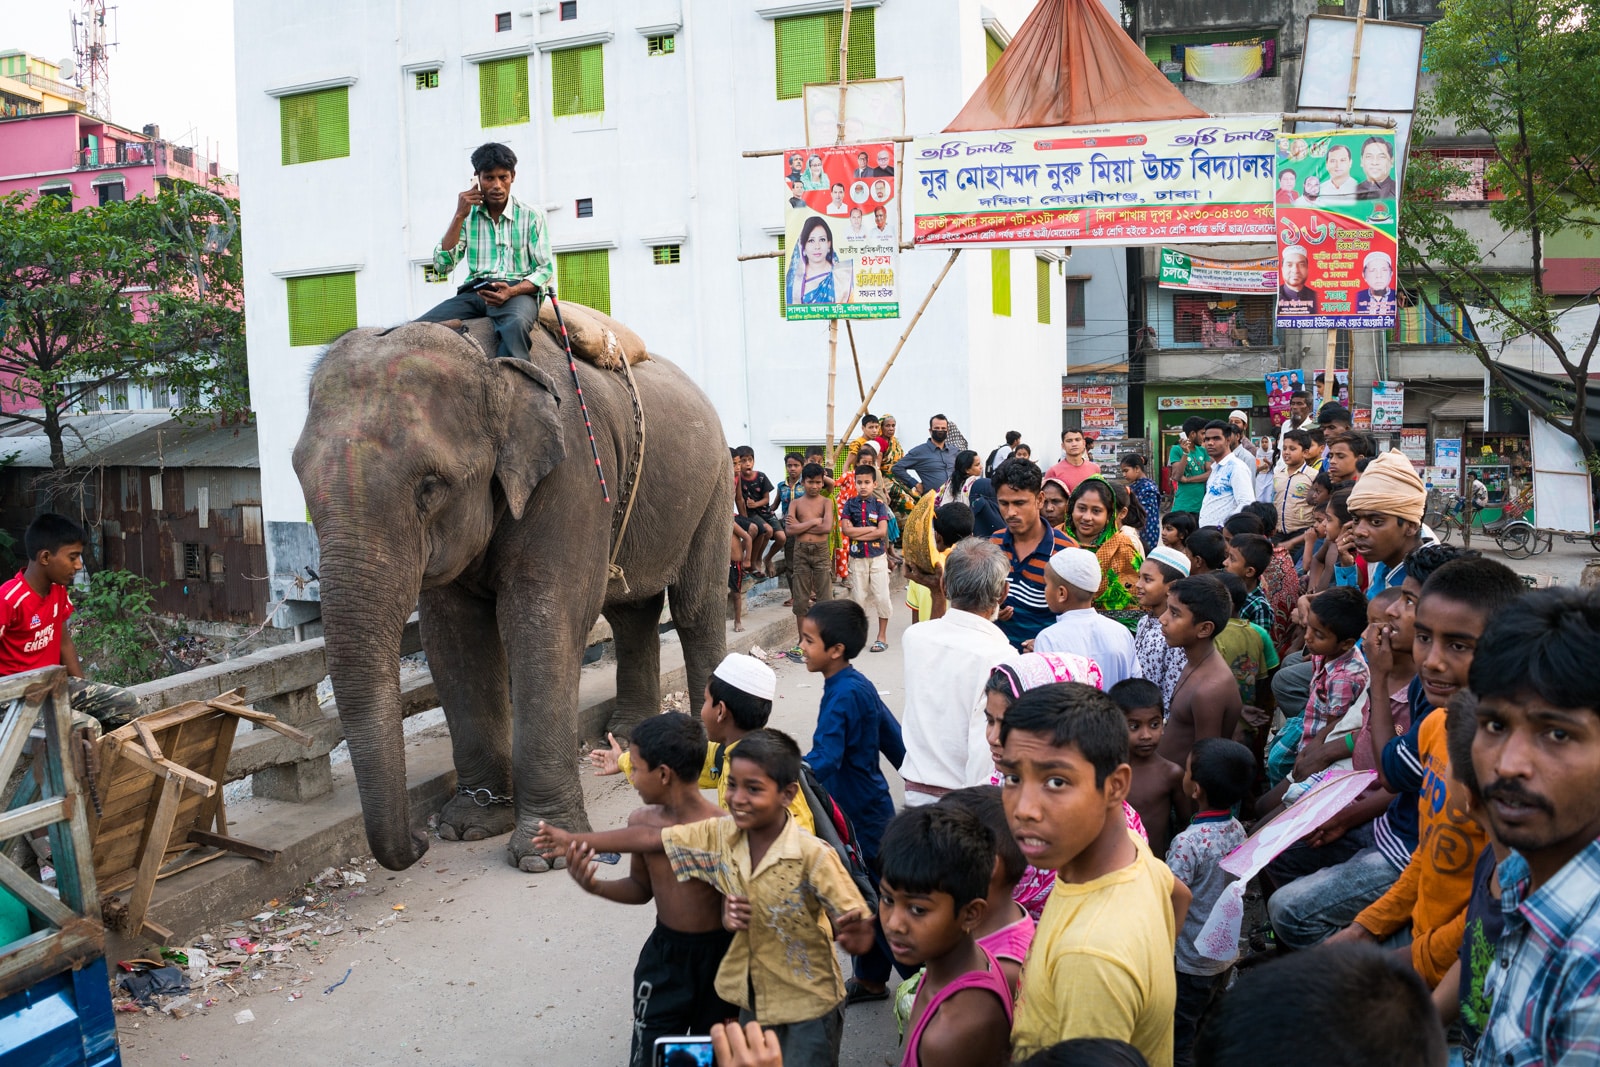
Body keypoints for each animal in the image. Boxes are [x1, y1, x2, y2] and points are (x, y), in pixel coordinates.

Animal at [291, 321, 729, 870]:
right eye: (300, 482)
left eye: (430, 487)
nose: (418, 842)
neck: (490, 364)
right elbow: (454, 638)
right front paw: (468, 826)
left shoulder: (574, 475)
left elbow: (542, 620)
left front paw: (545, 854)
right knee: (633, 613)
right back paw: (632, 739)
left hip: (714, 482)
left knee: (696, 606)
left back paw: (710, 751)